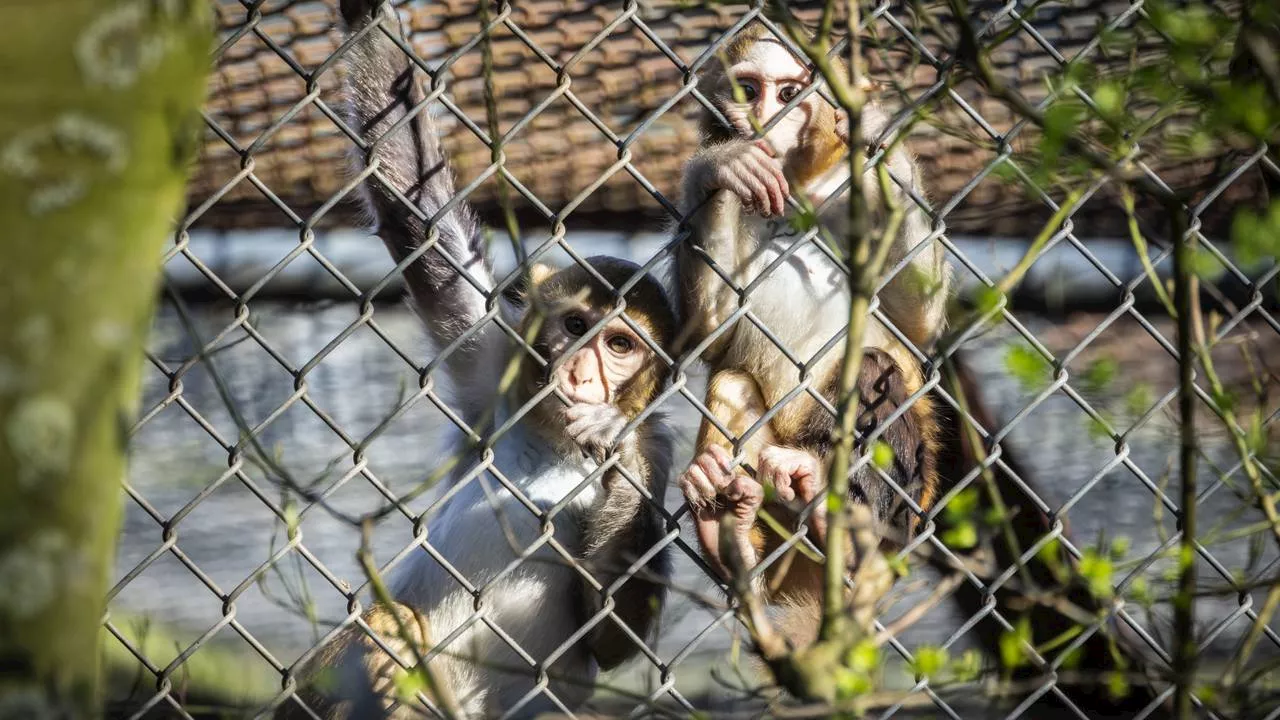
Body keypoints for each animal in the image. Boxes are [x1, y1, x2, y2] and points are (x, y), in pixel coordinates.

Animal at [273, 2, 675, 712]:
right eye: (577, 325)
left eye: (621, 345)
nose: (583, 371)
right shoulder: (495, 363)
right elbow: (424, 221)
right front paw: (368, 17)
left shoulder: (661, 448)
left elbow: (609, 637)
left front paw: (618, 461)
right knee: (389, 624)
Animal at [670, 25, 952, 604]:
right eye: (748, 90)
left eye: (787, 94)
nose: (763, 118)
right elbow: (711, 331)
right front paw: (720, 167)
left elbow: (917, 323)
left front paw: (881, 138)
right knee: (733, 381)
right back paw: (733, 542)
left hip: (909, 501)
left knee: (873, 369)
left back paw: (838, 521)